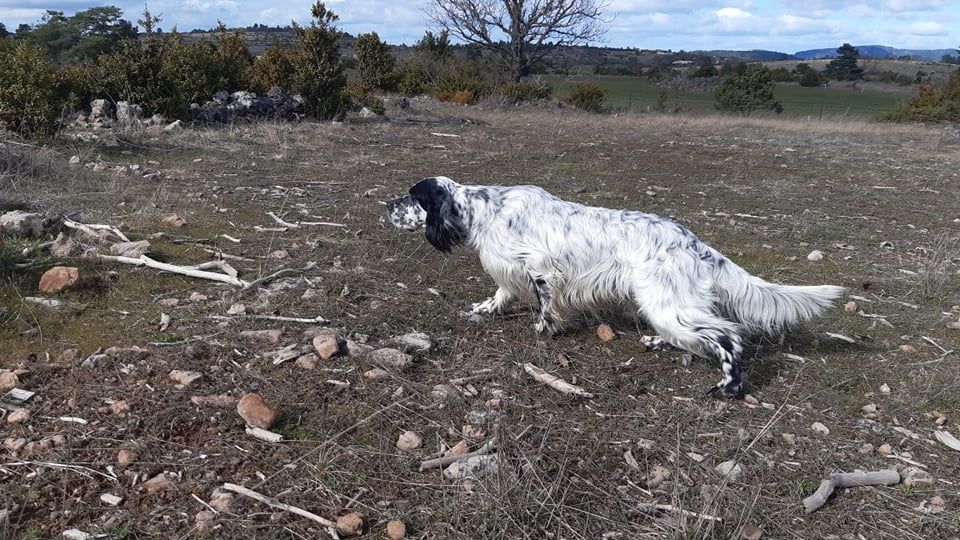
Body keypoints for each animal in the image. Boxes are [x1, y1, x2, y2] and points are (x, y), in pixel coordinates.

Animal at [386, 177, 844, 396]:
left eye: (412, 196)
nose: (386, 203)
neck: (485, 210)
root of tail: (694, 242)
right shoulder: (509, 272)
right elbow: (500, 295)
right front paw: (482, 311)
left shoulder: (540, 269)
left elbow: (545, 306)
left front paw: (544, 331)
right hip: (668, 305)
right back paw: (659, 343)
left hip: (666, 302)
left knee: (728, 336)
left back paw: (727, 387)